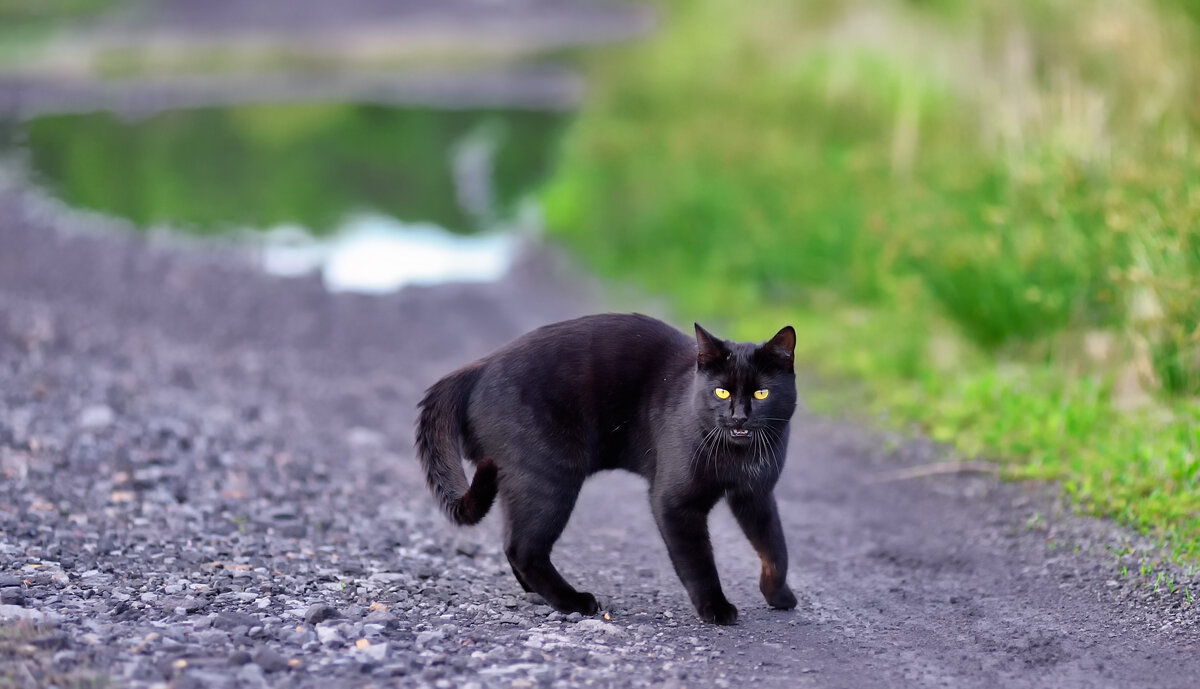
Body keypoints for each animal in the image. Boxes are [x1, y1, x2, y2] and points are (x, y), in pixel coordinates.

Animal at [412, 312, 796, 624]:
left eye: (761, 394)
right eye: (721, 392)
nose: (739, 417)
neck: (739, 456)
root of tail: (479, 365)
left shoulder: (757, 495)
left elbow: (774, 545)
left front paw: (778, 594)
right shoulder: (674, 503)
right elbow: (698, 561)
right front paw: (716, 608)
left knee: (510, 540)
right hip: (550, 478)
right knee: (524, 547)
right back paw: (573, 601)